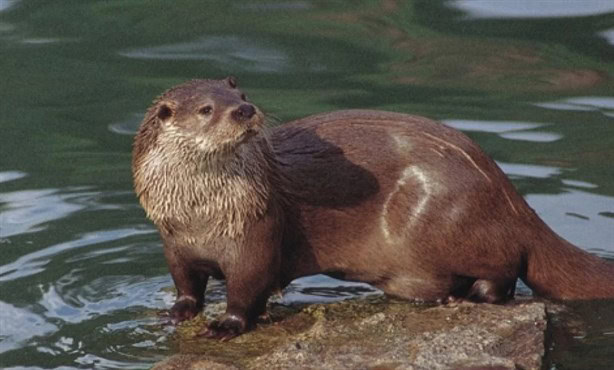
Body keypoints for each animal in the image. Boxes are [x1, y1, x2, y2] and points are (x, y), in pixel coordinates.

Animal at [132, 77, 614, 342]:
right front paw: (177, 313)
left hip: (445, 217)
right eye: (207, 109)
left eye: (243, 94)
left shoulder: (257, 232)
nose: (245, 110)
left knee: (509, 265)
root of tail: (505, 190)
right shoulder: (173, 241)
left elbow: (248, 287)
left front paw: (226, 325)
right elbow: (186, 283)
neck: (201, 215)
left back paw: (473, 295)